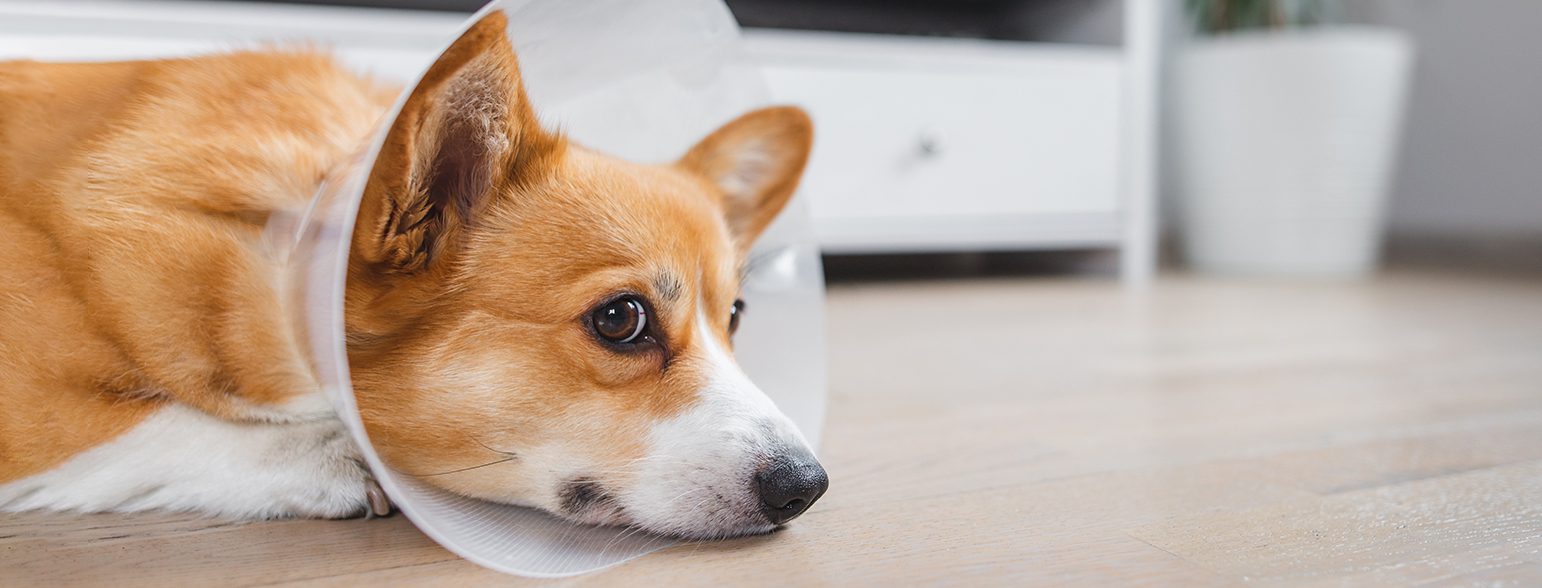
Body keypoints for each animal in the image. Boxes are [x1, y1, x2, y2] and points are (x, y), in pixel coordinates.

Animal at [0, 10, 832, 540]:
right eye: (620, 319)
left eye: (734, 317)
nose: (808, 487)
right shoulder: (40, 410)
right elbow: (157, 423)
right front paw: (333, 455)